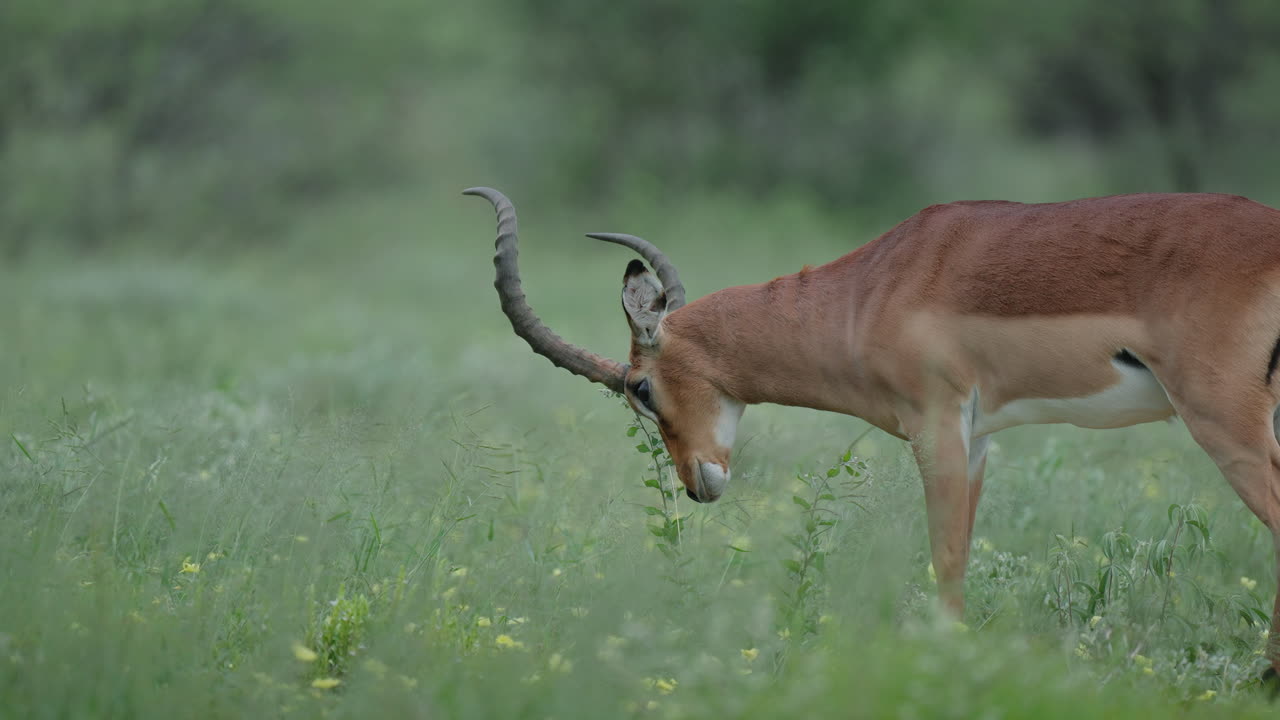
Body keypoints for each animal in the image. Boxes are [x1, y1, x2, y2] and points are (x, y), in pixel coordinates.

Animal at [464, 186, 1280, 677]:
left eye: (638, 387)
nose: (699, 484)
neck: (871, 291)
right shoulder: (979, 438)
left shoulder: (936, 425)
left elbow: (945, 557)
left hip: (1226, 422)